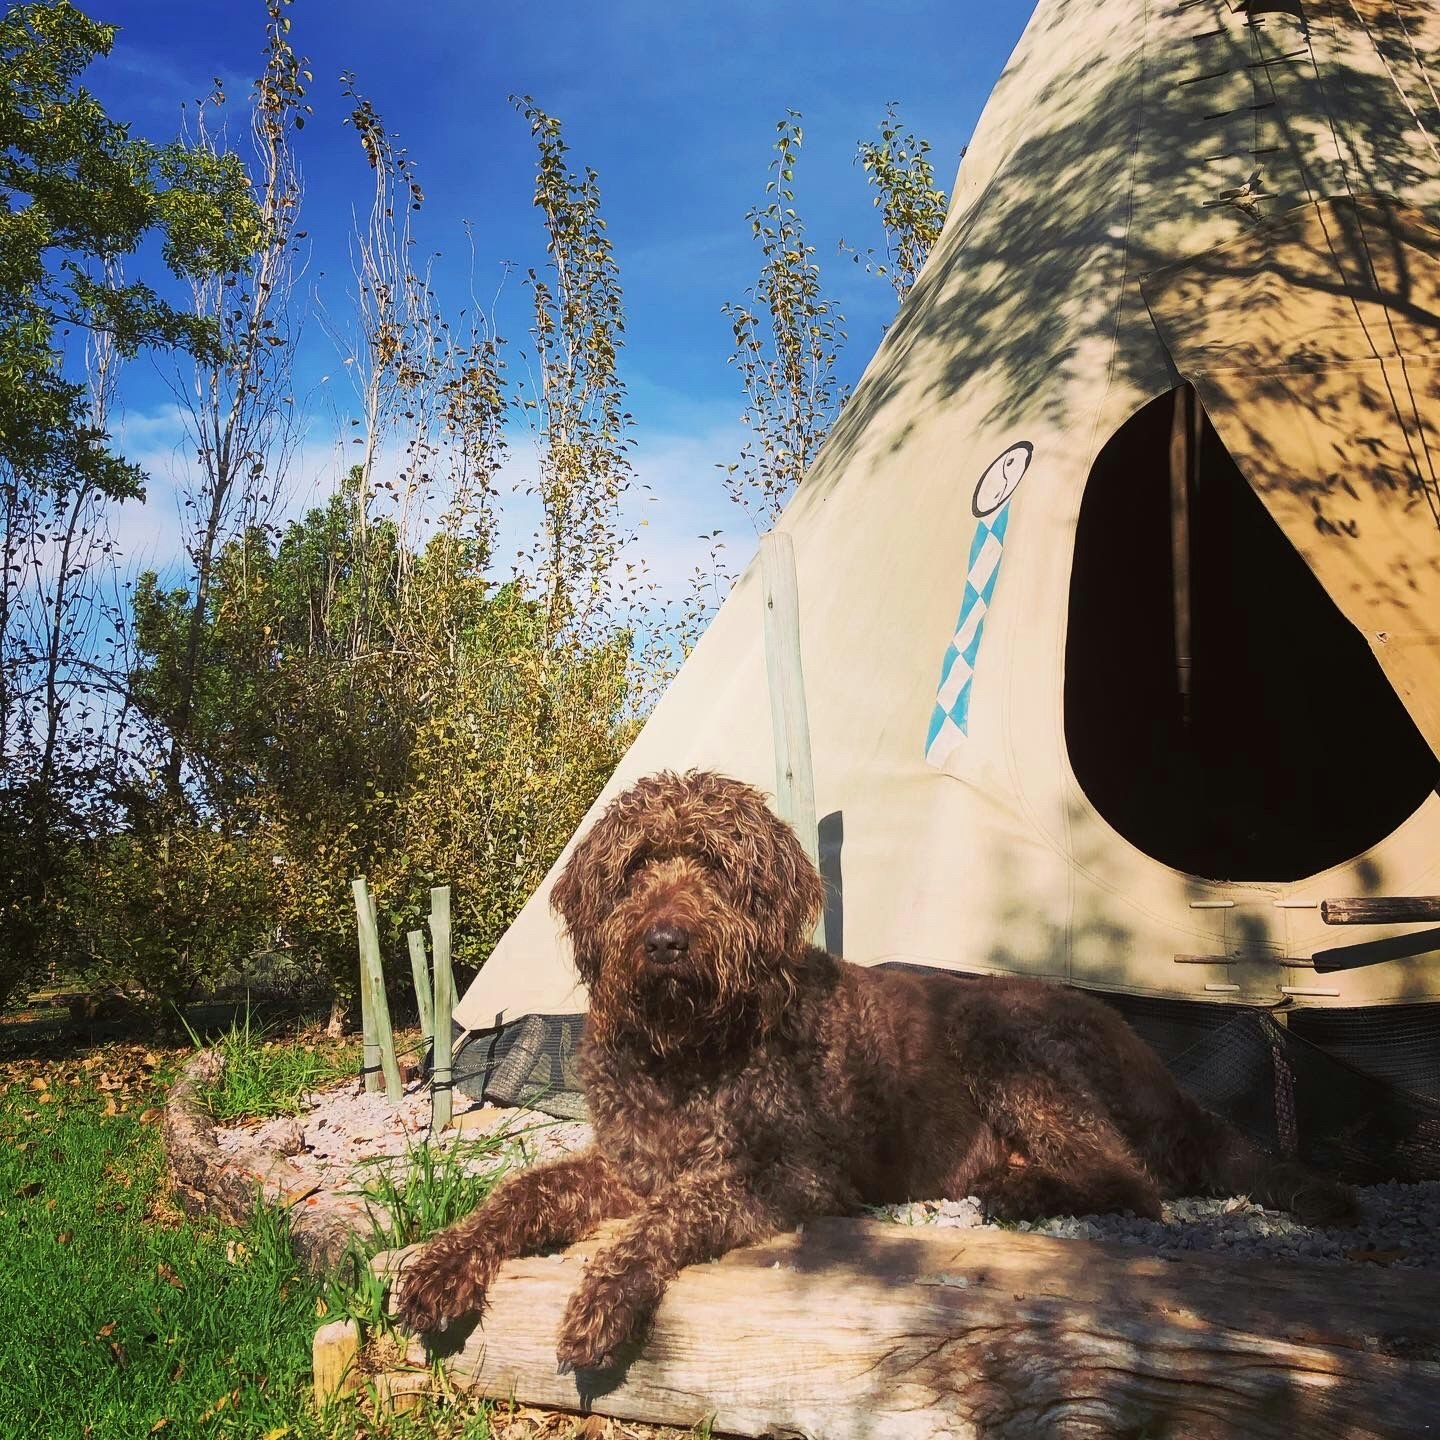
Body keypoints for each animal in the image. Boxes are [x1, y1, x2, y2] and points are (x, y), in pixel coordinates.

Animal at [395, 769, 1356, 1370]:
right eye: (636, 868)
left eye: (715, 867)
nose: (665, 942)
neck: (690, 1047)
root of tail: (1143, 1052)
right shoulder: (632, 1160)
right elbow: (521, 1193)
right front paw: (442, 1266)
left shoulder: (793, 1174)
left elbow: (675, 1211)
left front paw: (604, 1299)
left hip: (1005, 1041)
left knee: (1133, 1182)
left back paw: (1021, 1193)